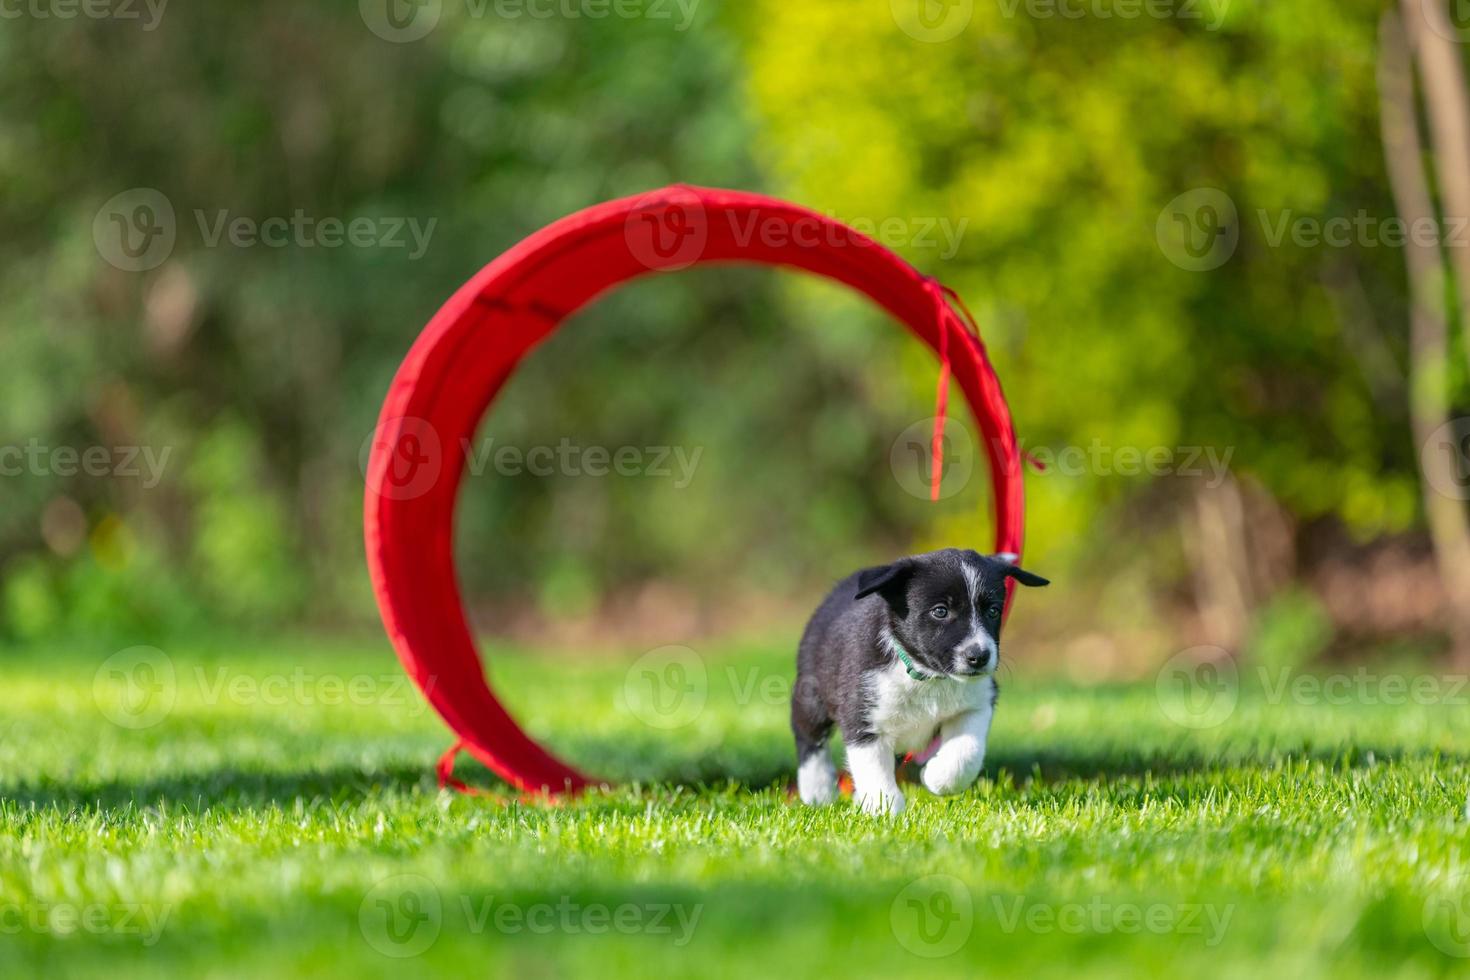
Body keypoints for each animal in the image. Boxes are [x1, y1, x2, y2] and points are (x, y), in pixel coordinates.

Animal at [793, 549, 1046, 816]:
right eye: (940, 611)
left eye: (994, 611)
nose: (979, 656)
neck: (928, 677)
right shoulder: (862, 715)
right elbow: (873, 767)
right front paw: (884, 807)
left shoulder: (977, 703)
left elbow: (966, 751)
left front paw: (937, 777)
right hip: (811, 695)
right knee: (808, 736)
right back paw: (817, 790)